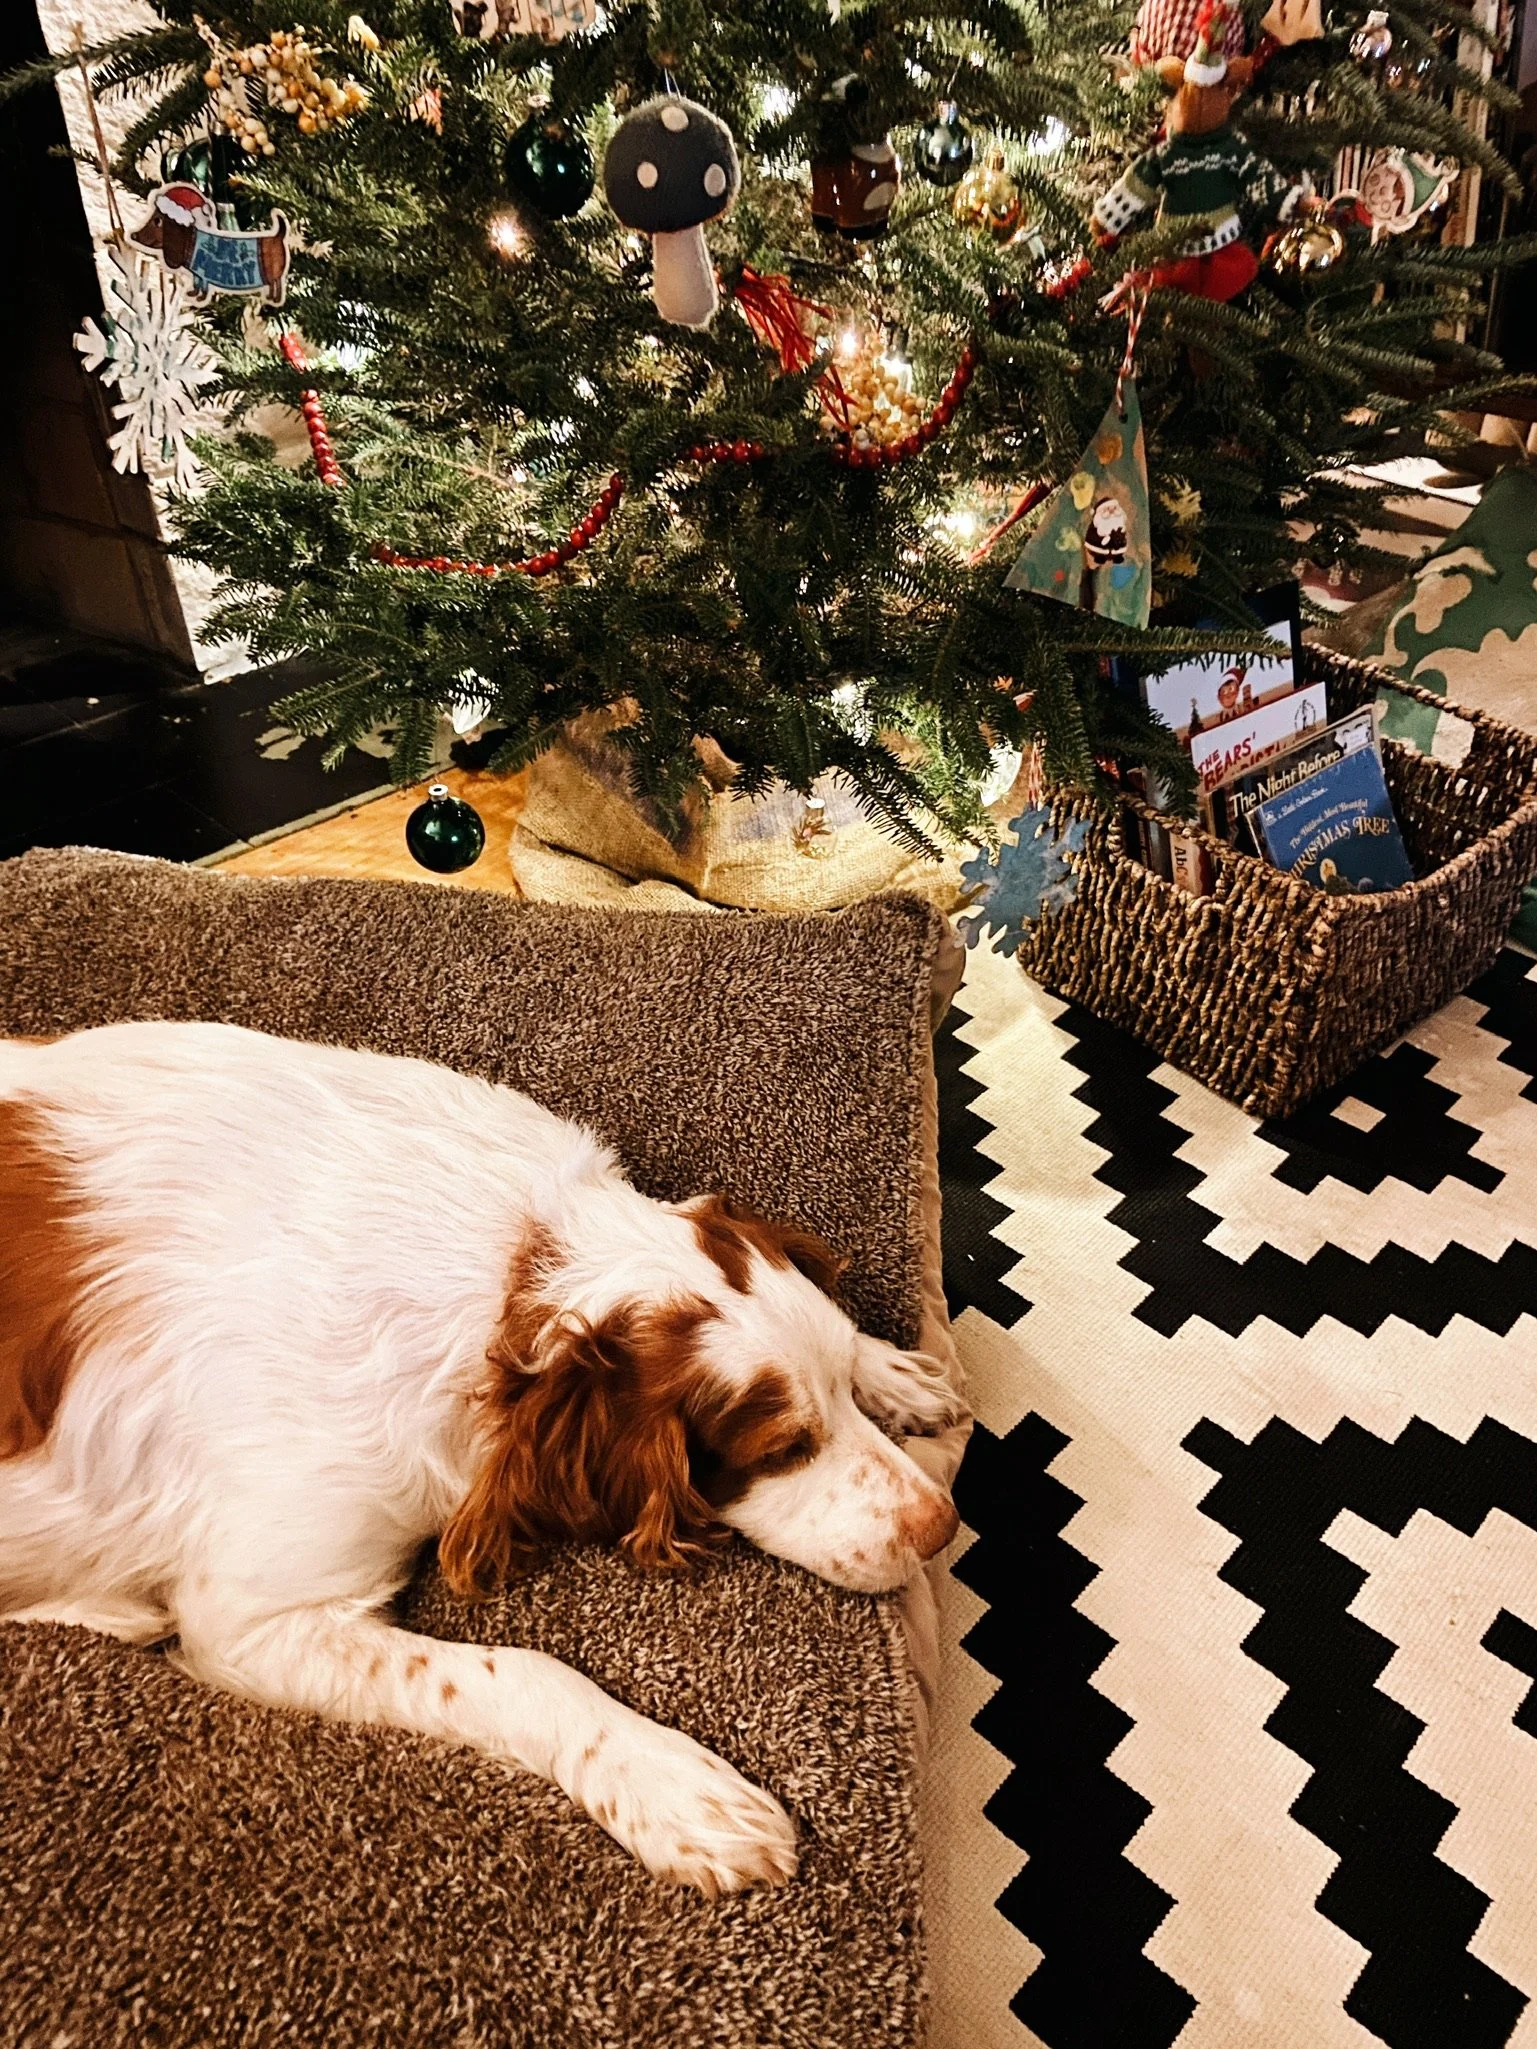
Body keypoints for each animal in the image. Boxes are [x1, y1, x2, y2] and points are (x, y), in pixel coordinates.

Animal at [0, 1022, 963, 1895]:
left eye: (832, 1393)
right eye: (783, 1448)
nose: (941, 1525)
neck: (511, 1268)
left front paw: (894, 1372)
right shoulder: (248, 1619)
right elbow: (526, 1672)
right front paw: (676, 1788)